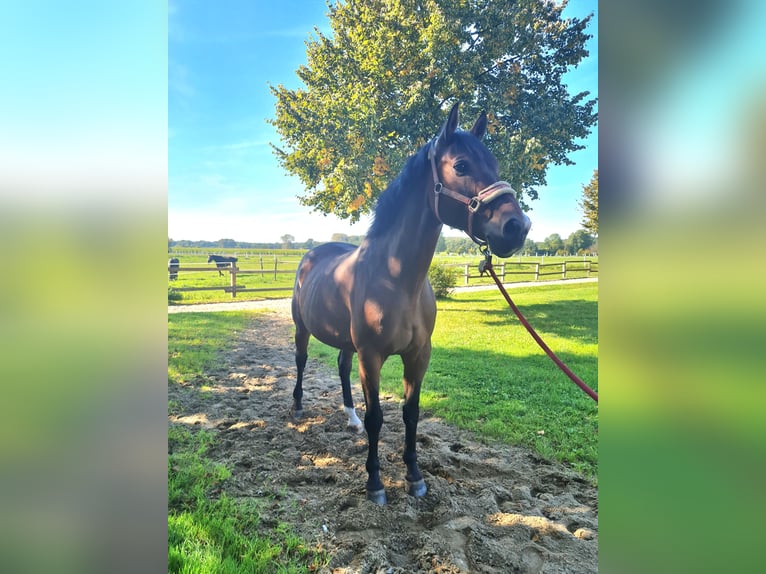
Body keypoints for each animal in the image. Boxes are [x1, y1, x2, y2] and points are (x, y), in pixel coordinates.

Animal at [292, 102, 532, 504]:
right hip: (302, 329)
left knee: (341, 367)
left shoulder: (418, 355)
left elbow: (411, 413)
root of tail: (313, 254)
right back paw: (296, 407)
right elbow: (377, 417)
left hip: (346, 342)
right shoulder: (371, 356)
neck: (395, 279)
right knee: (300, 360)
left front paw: (414, 477)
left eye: (495, 165)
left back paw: (350, 418)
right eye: (461, 165)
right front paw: (375, 484)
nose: (518, 227)